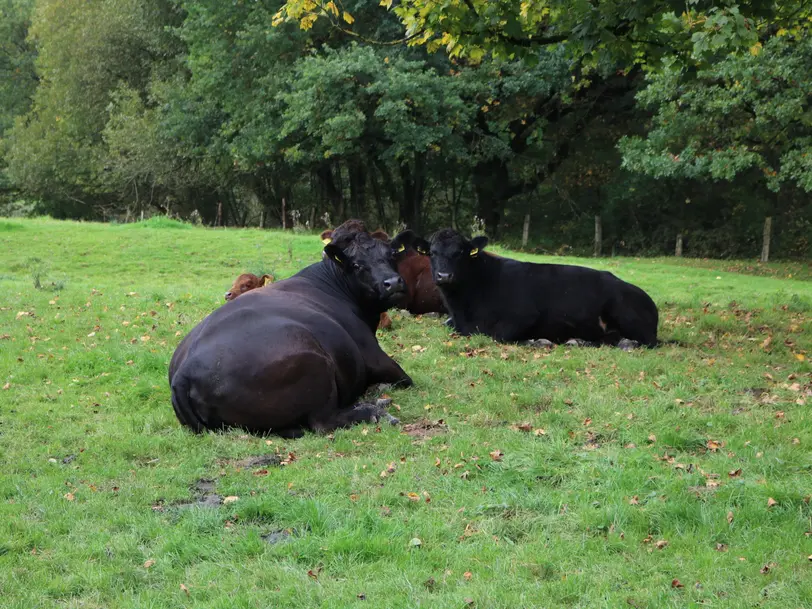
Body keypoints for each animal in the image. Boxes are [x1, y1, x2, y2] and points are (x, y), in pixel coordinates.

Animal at [170, 226, 412, 434]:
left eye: (392, 255)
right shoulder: (375, 355)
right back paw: (374, 409)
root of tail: (184, 371)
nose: (392, 282)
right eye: (357, 265)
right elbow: (405, 379)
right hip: (314, 364)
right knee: (323, 422)